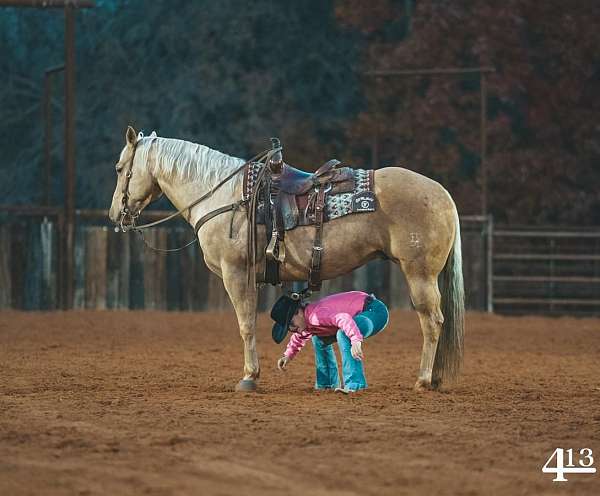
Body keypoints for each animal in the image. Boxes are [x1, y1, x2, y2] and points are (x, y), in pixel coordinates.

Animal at [109, 127, 464, 392]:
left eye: (119, 168)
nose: (115, 214)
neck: (223, 196)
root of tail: (443, 194)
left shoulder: (235, 273)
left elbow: (245, 325)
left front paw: (249, 377)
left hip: (419, 274)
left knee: (432, 321)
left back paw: (424, 380)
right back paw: (434, 379)